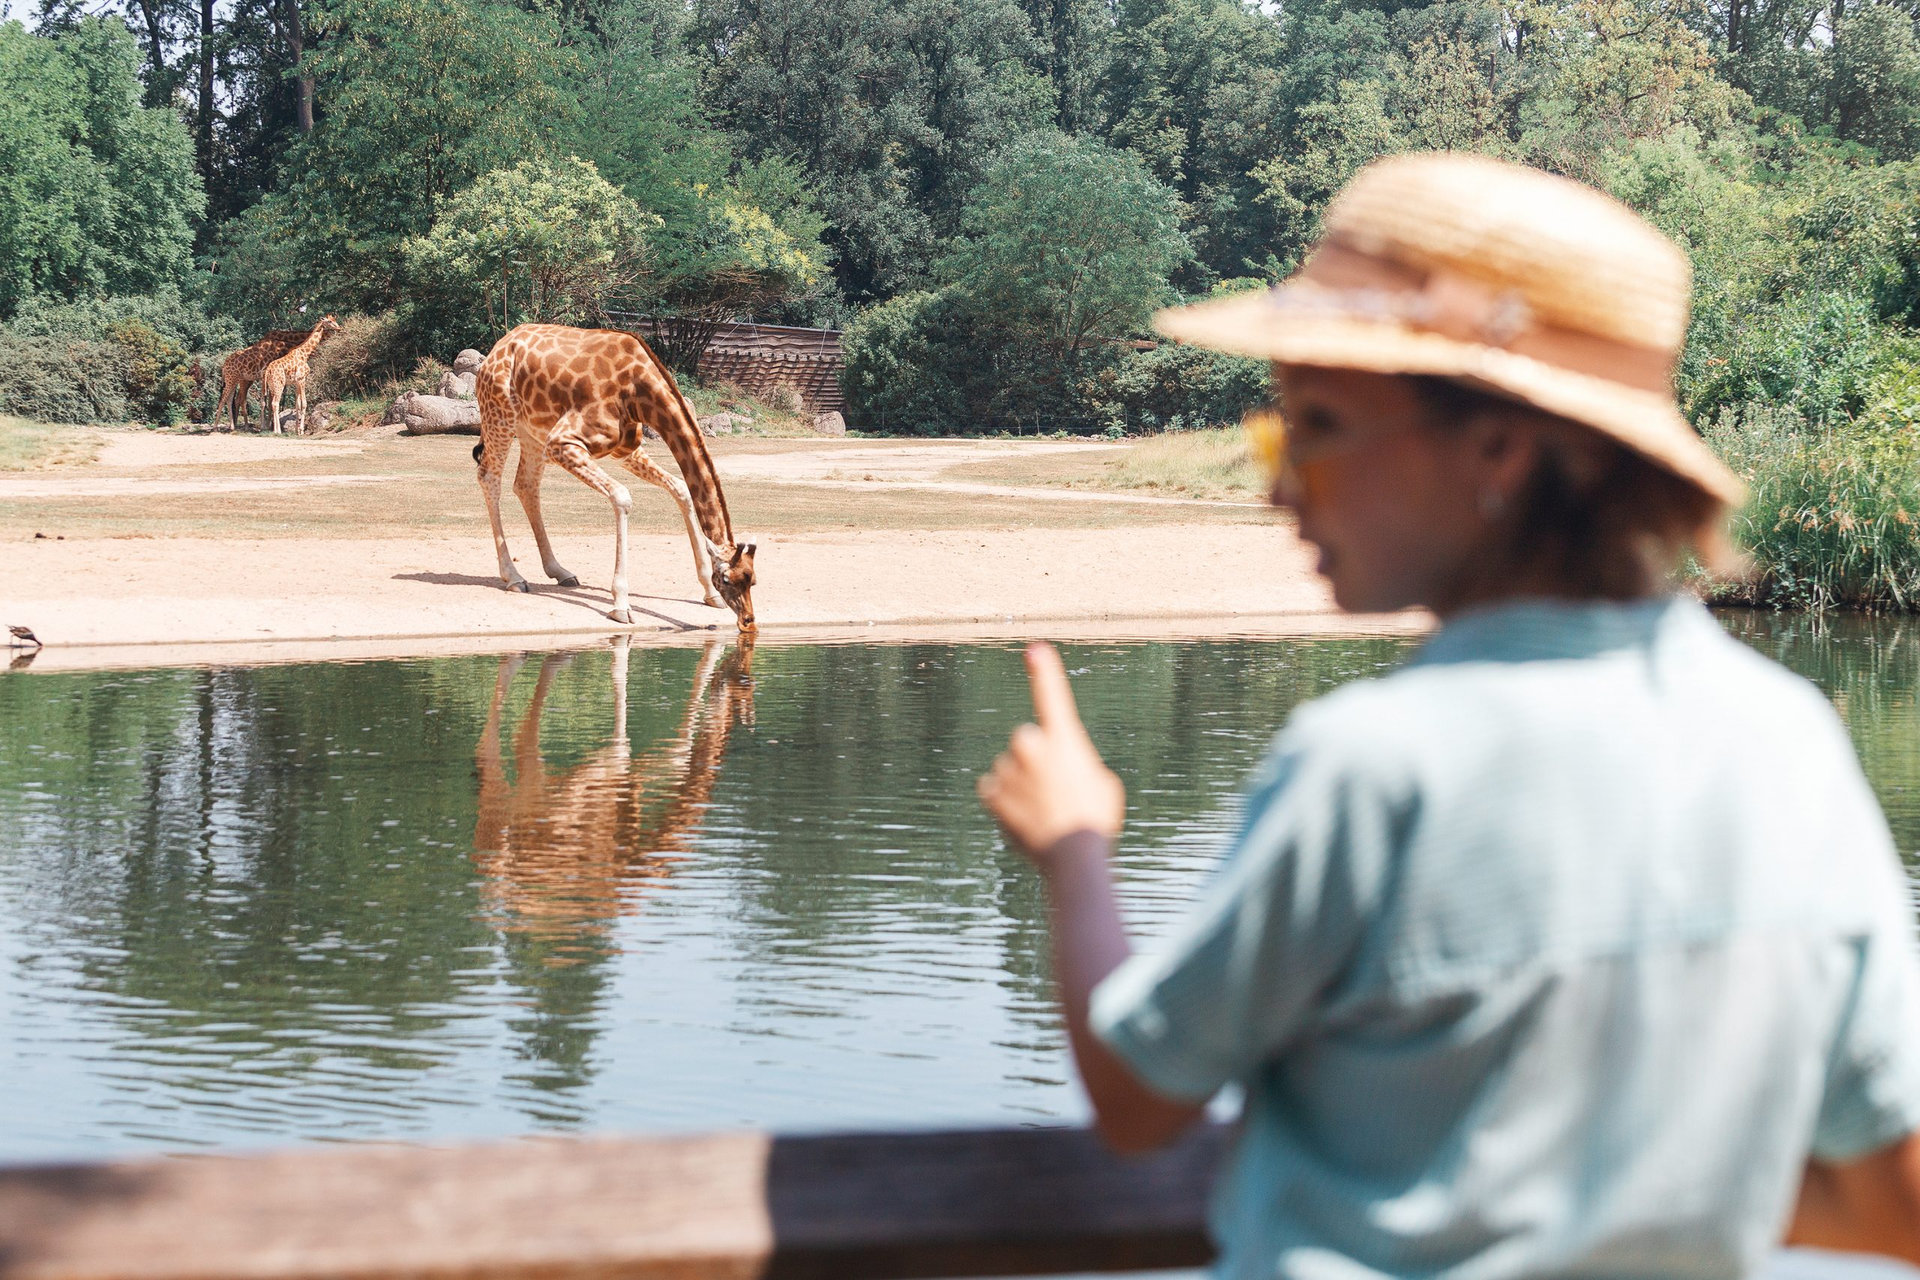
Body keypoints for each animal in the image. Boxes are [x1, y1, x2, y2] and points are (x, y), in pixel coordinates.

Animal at [472, 635, 755, 960]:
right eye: (744, 685)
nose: (734, 666)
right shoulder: (599, 779)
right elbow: (658, 747)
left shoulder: (619, 788)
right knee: (508, 751)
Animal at [473, 323, 757, 630]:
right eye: (727, 579)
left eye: (752, 579)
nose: (748, 620)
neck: (639, 391)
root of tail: (500, 346)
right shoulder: (562, 442)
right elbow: (622, 497)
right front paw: (621, 605)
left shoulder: (625, 450)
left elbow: (681, 488)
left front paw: (708, 593)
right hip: (501, 415)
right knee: (489, 477)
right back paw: (513, 577)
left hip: (532, 431)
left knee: (525, 485)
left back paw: (560, 571)